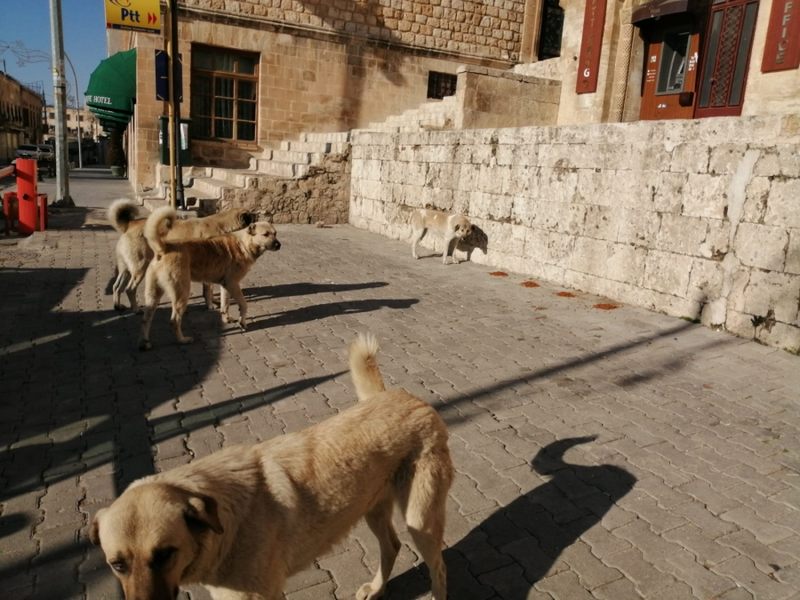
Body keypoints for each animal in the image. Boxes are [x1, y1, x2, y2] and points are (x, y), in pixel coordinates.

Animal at [90, 336, 454, 596]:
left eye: (165, 554)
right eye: (117, 565)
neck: (226, 520)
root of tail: (404, 396)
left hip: (420, 520)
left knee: (438, 568)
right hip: (372, 507)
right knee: (392, 547)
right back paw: (377, 589)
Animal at [106, 202, 256, 314]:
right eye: (254, 218)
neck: (223, 224)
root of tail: (130, 225)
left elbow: (207, 290)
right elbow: (208, 290)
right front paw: (210, 305)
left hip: (126, 269)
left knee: (116, 286)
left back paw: (117, 306)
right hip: (140, 268)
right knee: (130, 289)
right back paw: (136, 309)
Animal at [140, 205, 282, 350]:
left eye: (275, 233)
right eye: (265, 234)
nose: (278, 245)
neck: (244, 243)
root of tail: (163, 249)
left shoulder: (225, 285)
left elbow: (225, 305)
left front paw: (226, 319)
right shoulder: (233, 284)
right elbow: (243, 304)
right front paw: (242, 322)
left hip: (152, 296)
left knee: (146, 319)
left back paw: (146, 342)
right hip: (182, 294)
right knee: (174, 321)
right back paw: (182, 340)